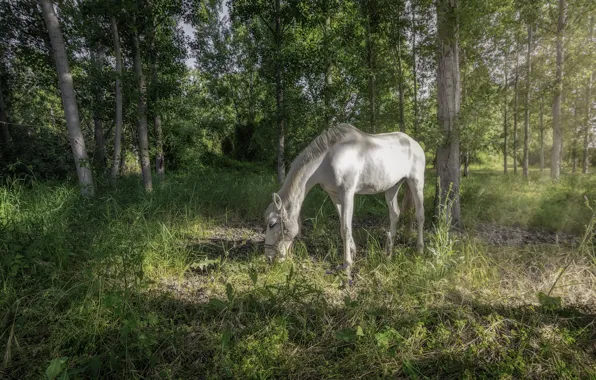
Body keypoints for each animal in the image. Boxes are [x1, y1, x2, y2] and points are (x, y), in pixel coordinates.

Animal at [264, 124, 424, 276]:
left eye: (272, 224)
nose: (268, 258)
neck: (327, 159)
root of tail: (415, 144)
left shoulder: (347, 193)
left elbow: (346, 228)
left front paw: (347, 266)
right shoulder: (335, 195)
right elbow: (342, 227)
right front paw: (352, 254)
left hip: (416, 183)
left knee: (420, 215)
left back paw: (419, 251)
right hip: (392, 188)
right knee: (395, 214)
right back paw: (388, 253)